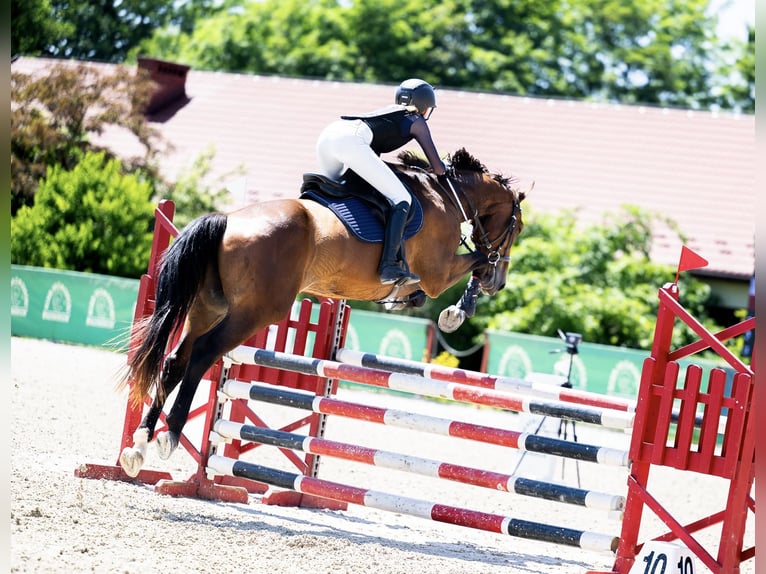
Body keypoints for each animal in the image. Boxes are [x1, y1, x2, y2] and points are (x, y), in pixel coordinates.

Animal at [118, 147, 525, 477]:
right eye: (517, 228)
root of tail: (227, 221)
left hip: (208, 308)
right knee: (203, 354)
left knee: (175, 360)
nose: (500, 283)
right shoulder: (439, 274)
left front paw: (421, 301)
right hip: (254, 313)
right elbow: (477, 260)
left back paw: (139, 443)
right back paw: (169, 434)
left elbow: (440, 282)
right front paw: (459, 310)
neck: (448, 198)